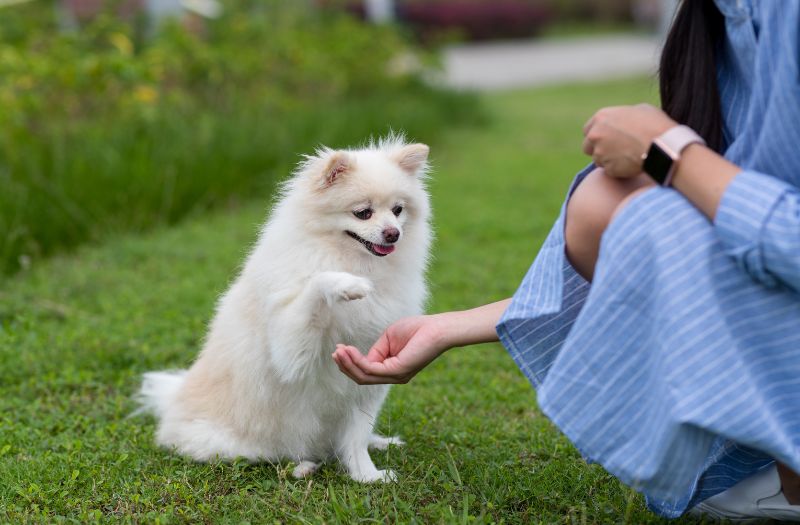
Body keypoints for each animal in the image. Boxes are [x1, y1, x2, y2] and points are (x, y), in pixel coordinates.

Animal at [136, 136, 432, 484]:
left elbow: (357, 436)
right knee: (267, 455)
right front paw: (347, 284)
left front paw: (367, 475)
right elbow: (316, 283)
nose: (393, 233)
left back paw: (378, 442)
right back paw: (304, 465)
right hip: (236, 444)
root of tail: (172, 403)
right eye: (363, 213)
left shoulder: (366, 380)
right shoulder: (290, 351)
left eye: (398, 210)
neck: (352, 259)